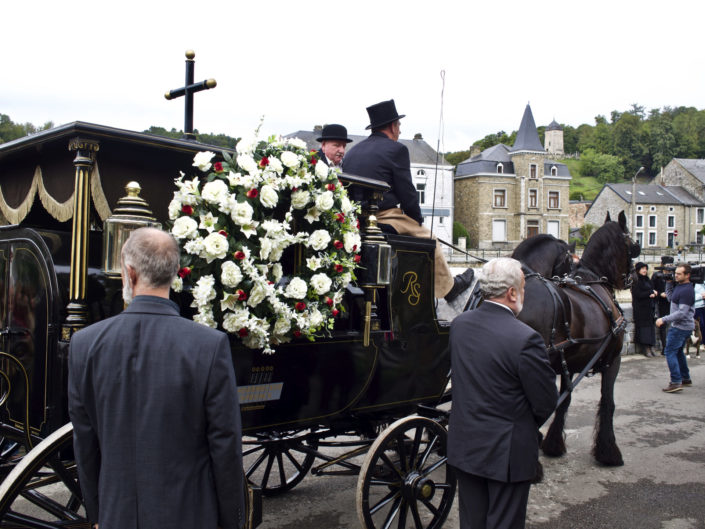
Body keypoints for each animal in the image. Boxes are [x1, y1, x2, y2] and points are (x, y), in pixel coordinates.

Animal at [516, 210, 640, 466]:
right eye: (632, 245)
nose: (632, 278)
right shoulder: (613, 361)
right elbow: (608, 402)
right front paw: (608, 452)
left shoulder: (569, 364)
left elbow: (565, 400)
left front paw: (553, 444)